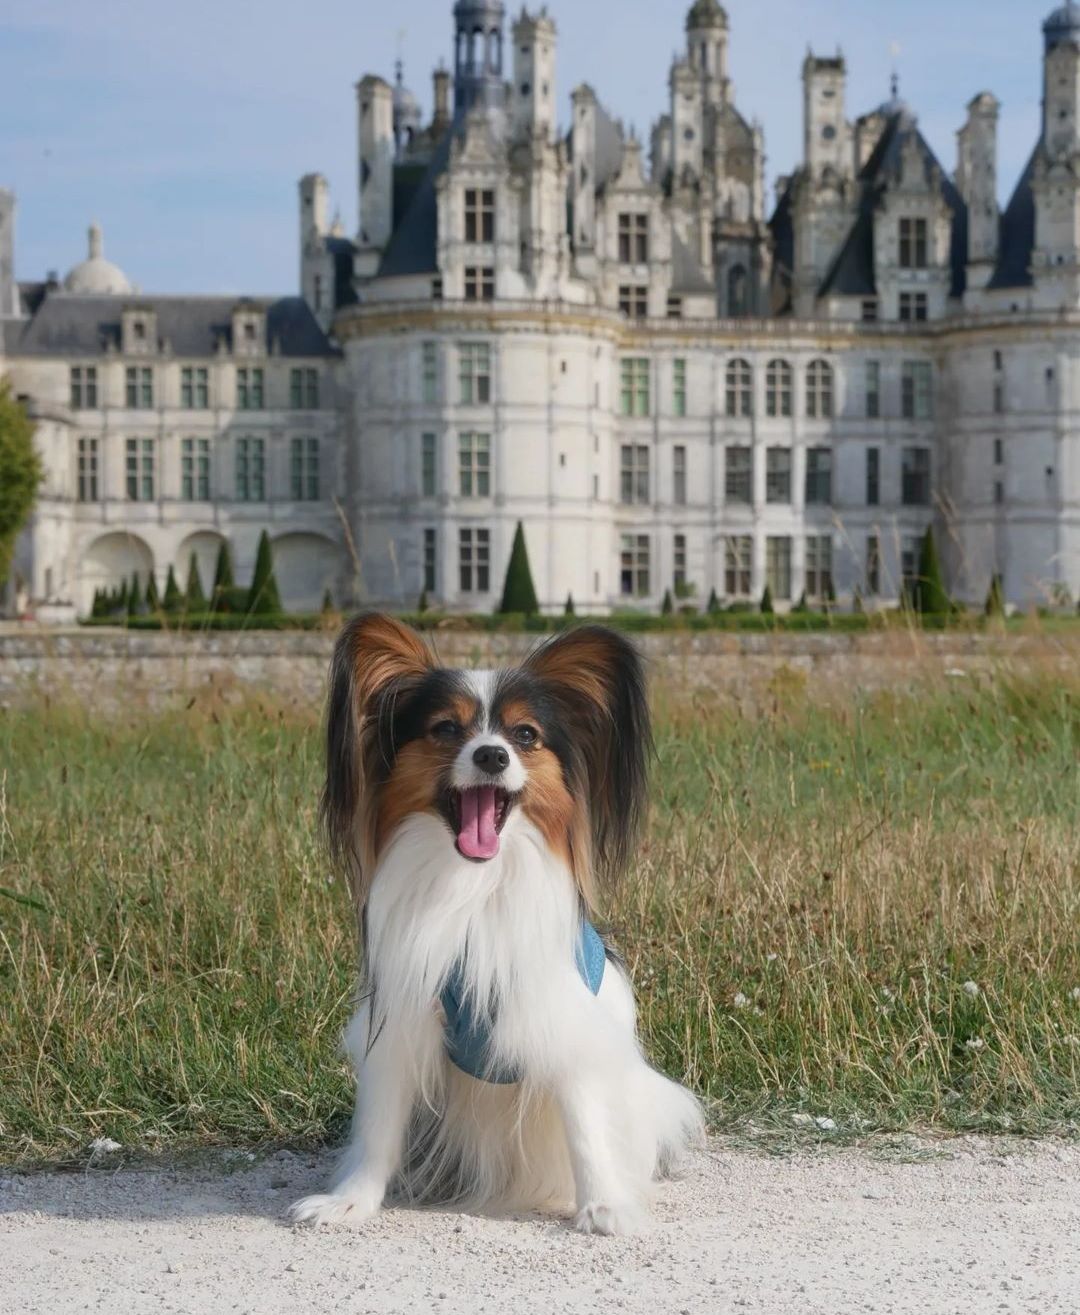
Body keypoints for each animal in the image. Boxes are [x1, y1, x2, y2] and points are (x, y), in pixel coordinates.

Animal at [290, 612, 705, 1230]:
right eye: (444, 729)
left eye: (525, 736)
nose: (492, 756)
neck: (475, 887)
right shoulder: (403, 1022)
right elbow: (379, 1127)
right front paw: (351, 1201)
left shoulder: (560, 1019)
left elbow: (585, 1125)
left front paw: (603, 1205)